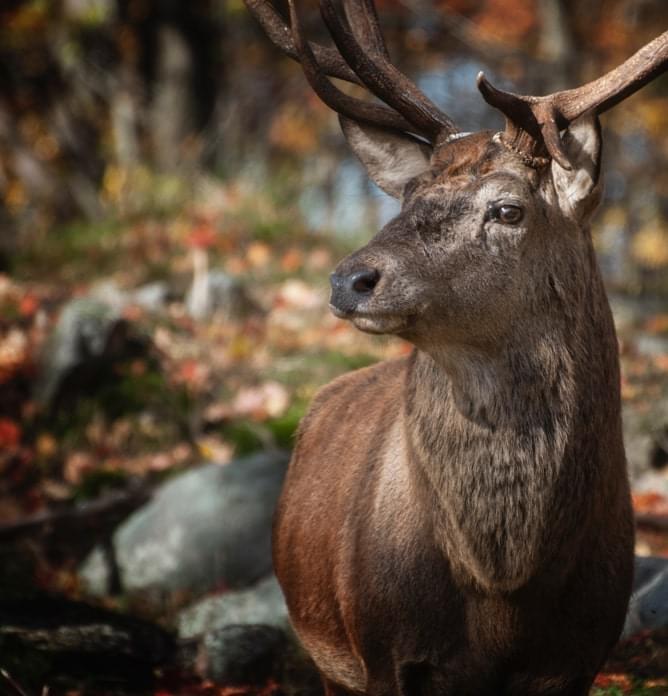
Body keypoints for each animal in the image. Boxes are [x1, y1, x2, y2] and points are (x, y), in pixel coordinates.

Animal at [245, 2, 668, 694]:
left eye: (508, 210)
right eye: (408, 198)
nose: (348, 279)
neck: (502, 597)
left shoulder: (582, 655)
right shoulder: (382, 650)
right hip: (328, 656)